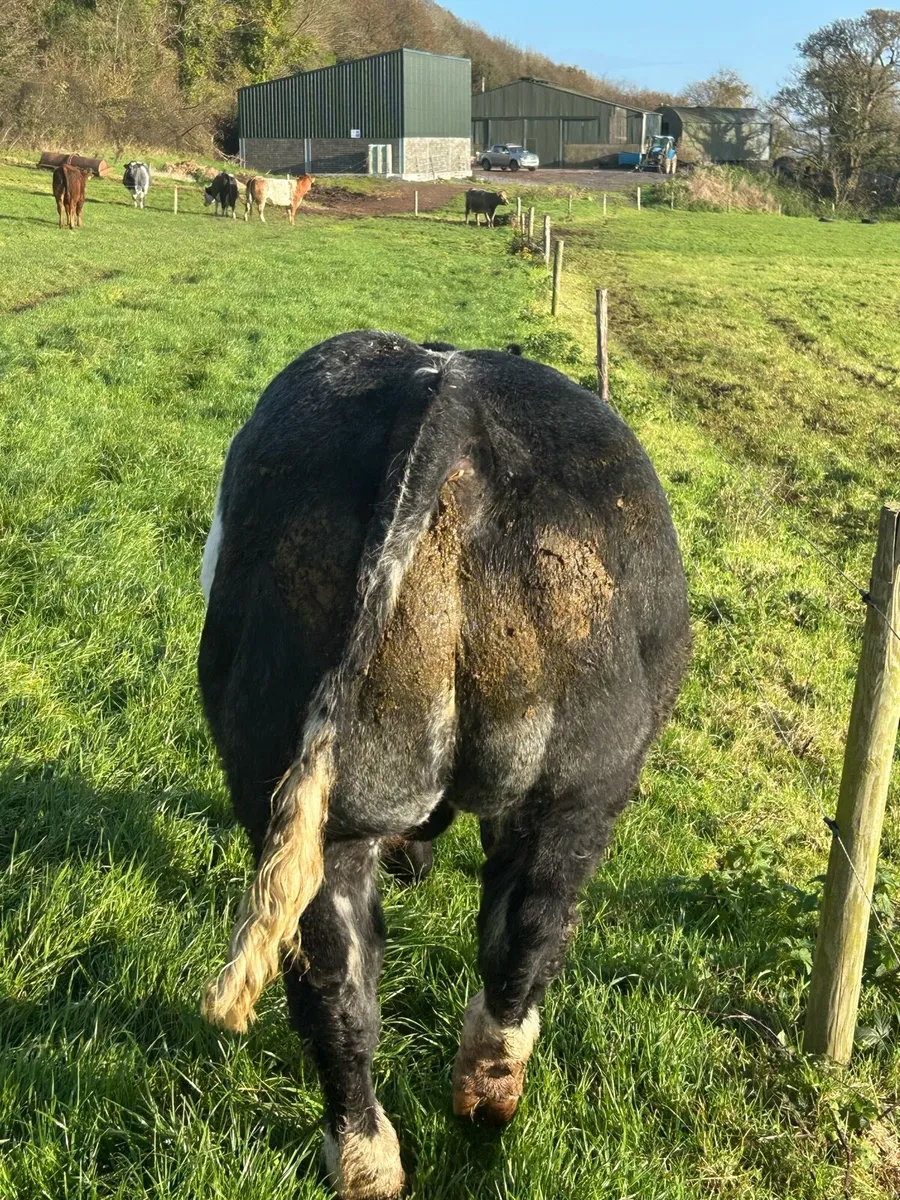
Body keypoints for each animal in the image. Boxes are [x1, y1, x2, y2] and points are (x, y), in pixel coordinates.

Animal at [197, 330, 690, 1200]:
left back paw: (380, 1155)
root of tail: (447, 401)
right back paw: (474, 1106)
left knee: (343, 981)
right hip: (582, 790)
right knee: (523, 938)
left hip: (326, 796)